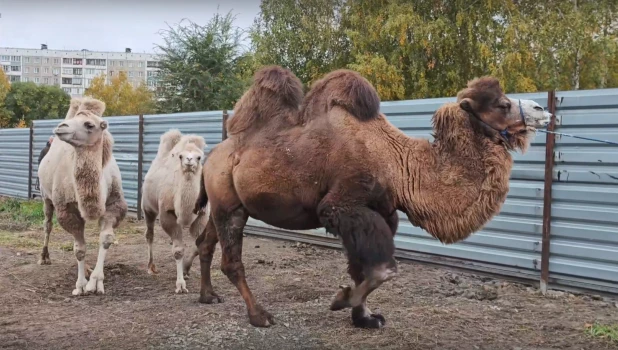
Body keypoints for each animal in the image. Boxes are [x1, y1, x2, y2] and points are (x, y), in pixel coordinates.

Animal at [37, 97, 127, 296]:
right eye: (74, 120)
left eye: (89, 124)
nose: (61, 127)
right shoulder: (67, 210)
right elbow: (79, 249)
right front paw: (80, 286)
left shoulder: (114, 205)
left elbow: (105, 239)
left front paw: (96, 282)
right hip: (45, 196)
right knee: (47, 224)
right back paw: (44, 257)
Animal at [141, 129, 208, 292]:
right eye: (180, 156)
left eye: (199, 157)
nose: (189, 161)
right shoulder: (168, 214)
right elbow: (178, 250)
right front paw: (180, 285)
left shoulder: (202, 216)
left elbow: (199, 245)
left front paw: (186, 270)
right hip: (147, 207)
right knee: (150, 234)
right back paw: (151, 267)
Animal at [194, 65, 548, 328]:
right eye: (502, 104)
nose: (542, 109)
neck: (398, 163)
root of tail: (210, 157)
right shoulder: (342, 206)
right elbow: (383, 269)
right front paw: (342, 300)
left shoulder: (383, 212)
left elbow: (361, 267)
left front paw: (364, 318)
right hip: (229, 205)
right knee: (232, 261)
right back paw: (259, 316)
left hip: (223, 203)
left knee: (205, 242)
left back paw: (207, 296)